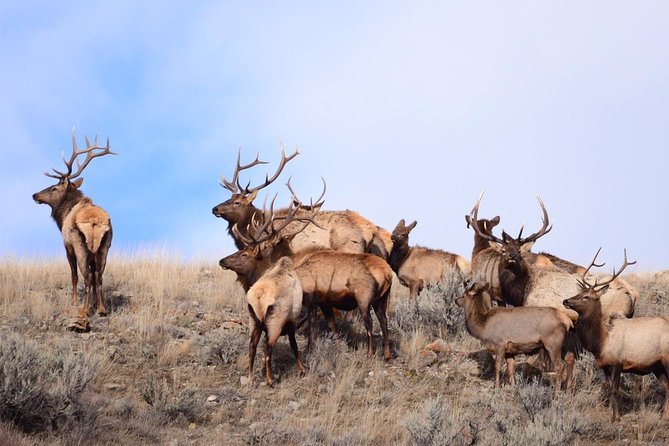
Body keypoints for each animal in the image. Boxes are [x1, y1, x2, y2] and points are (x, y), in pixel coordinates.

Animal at [32, 129, 116, 318]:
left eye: (54, 188)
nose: (35, 195)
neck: (63, 216)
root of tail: (94, 222)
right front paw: (94, 304)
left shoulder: (67, 245)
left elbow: (73, 275)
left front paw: (74, 301)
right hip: (104, 247)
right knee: (99, 275)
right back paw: (101, 308)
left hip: (81, 246)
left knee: (87, 276)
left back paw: (84, 310)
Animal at [246, 256, 305, 386]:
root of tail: (259, 294)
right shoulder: (291, 323)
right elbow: (294, 346)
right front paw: (302, 370)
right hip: (275, 325)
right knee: (268, 350)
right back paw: (270, 380)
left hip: (255, 323)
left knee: (252, 347)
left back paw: (251, 378)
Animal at [563, 249, 669, 421]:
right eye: (579, 292)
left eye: (586, 297)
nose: (565, 300)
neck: (600, 342)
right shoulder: (605, 365)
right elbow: (609, 388)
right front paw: (613, 415)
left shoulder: (618, 362)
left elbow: (615, 389)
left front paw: (616, 418)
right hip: (656, 365)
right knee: (667, 386)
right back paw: (664, 416)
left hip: (666, 359)